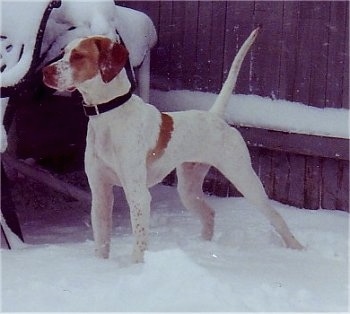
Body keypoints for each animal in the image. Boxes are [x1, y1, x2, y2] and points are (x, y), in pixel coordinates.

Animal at [43, 27, 304, 262]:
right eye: (63, 52)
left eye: (78, 56)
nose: (45, 72)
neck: (108, 116)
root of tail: (215, 116)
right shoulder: (100, 192)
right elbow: (102, 241)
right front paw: (99, 268)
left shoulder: (138, 194)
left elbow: (139, 242)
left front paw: (134, 269)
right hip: (188, 189)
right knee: (209, 214)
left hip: (245, 179)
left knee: (276, 216)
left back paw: (296, 248)